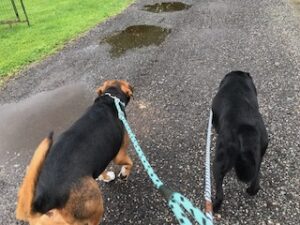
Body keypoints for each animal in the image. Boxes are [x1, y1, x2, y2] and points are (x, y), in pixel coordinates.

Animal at [16, 80, 134, 224]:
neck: (109, 100)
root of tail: (46, 199)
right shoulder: (120, 154)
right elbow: (129, 163)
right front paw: (124, 174)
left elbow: (101, 170)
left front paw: (106, 177)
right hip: (95, 206)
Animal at [212, 71, 268, 213]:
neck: (237, 83)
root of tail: (245, 129)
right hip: (259, 155)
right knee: (255, 183)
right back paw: (250, 190)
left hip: (220, 159)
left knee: (220, 192)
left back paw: (214, 207)